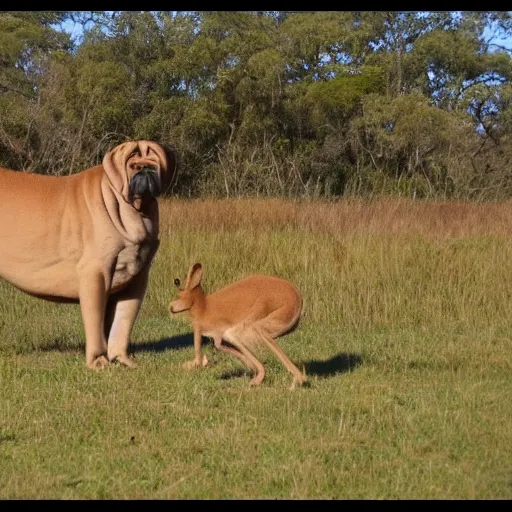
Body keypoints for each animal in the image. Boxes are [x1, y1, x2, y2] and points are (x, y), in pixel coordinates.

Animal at [0, 140, 175, 370]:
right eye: (132, 163)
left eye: (155, 158)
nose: (145, 167)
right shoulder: (95, 274)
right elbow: (96, 322)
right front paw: (98, 361)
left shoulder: (137, 278)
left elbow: (123, 322)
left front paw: (122, 358)